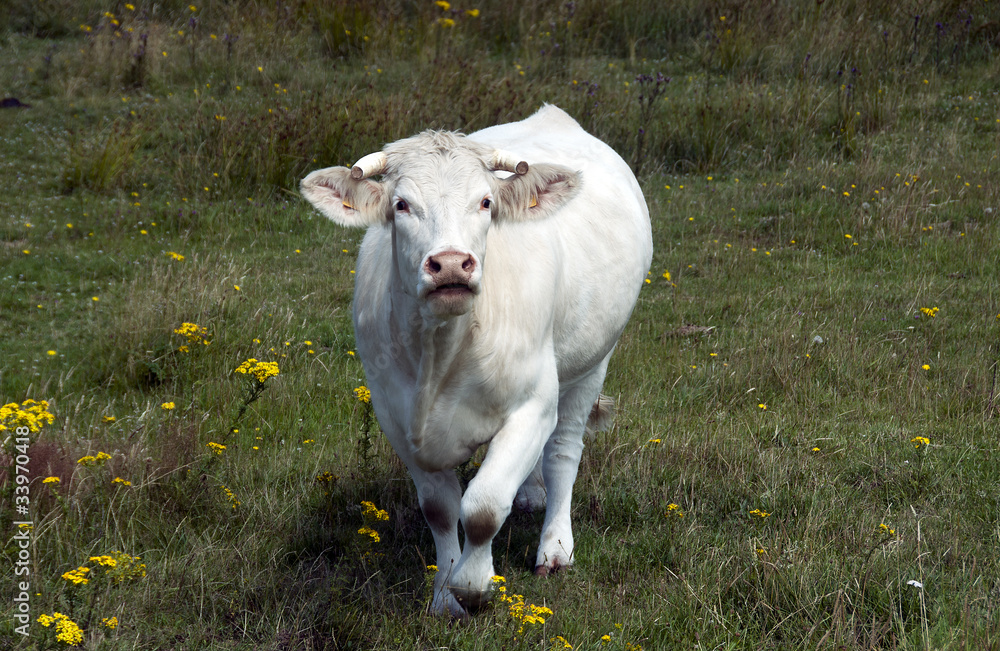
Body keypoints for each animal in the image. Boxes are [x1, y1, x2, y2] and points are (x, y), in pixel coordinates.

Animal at [300, 104, 652, 617]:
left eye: (486, 202)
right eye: (401, 205)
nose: (450, 264)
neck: (442, 353)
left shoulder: (533, 404)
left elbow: (483, 506)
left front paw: (472, 585)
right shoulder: (393, 414)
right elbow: (441, 508)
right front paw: (445, 594)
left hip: (592, 362)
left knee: (563, 452)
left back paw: (555, 546)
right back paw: (530, 494)